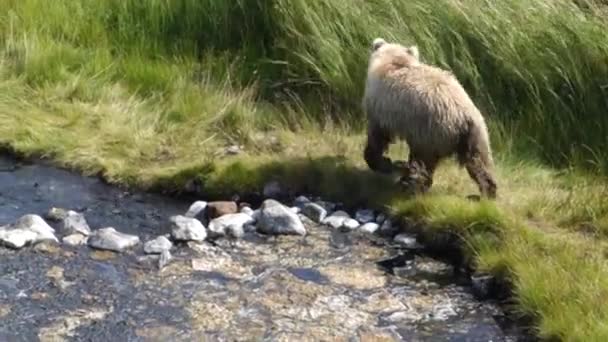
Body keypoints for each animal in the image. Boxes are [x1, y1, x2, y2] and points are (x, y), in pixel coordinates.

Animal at [364, 37, 496, 199]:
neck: (396, 63)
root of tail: (463, 117)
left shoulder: (382, 108)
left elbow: (377, 137)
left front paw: (383, 162)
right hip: (476, 135)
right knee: (478, 162)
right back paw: (485, 193)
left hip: (429, 130)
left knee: (423, 161)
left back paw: (409, 185)